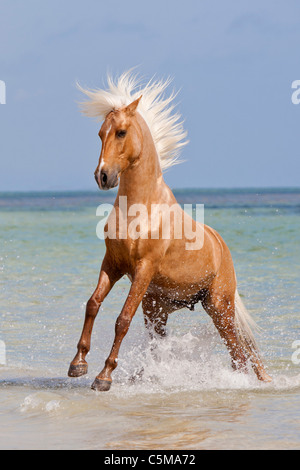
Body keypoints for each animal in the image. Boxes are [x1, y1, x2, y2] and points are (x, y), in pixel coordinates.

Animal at [68, 72, 272, 390]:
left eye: (121, 133)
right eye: (100, 133)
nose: (103, 176)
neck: (141, 208)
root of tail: (221, 246)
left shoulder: (144, 268)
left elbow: (122, 319)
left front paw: (104, 377)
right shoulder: (112, 264)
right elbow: (93, 304)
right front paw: (78, 364)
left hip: (219, 307)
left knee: (238, 352)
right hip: (159, 306)